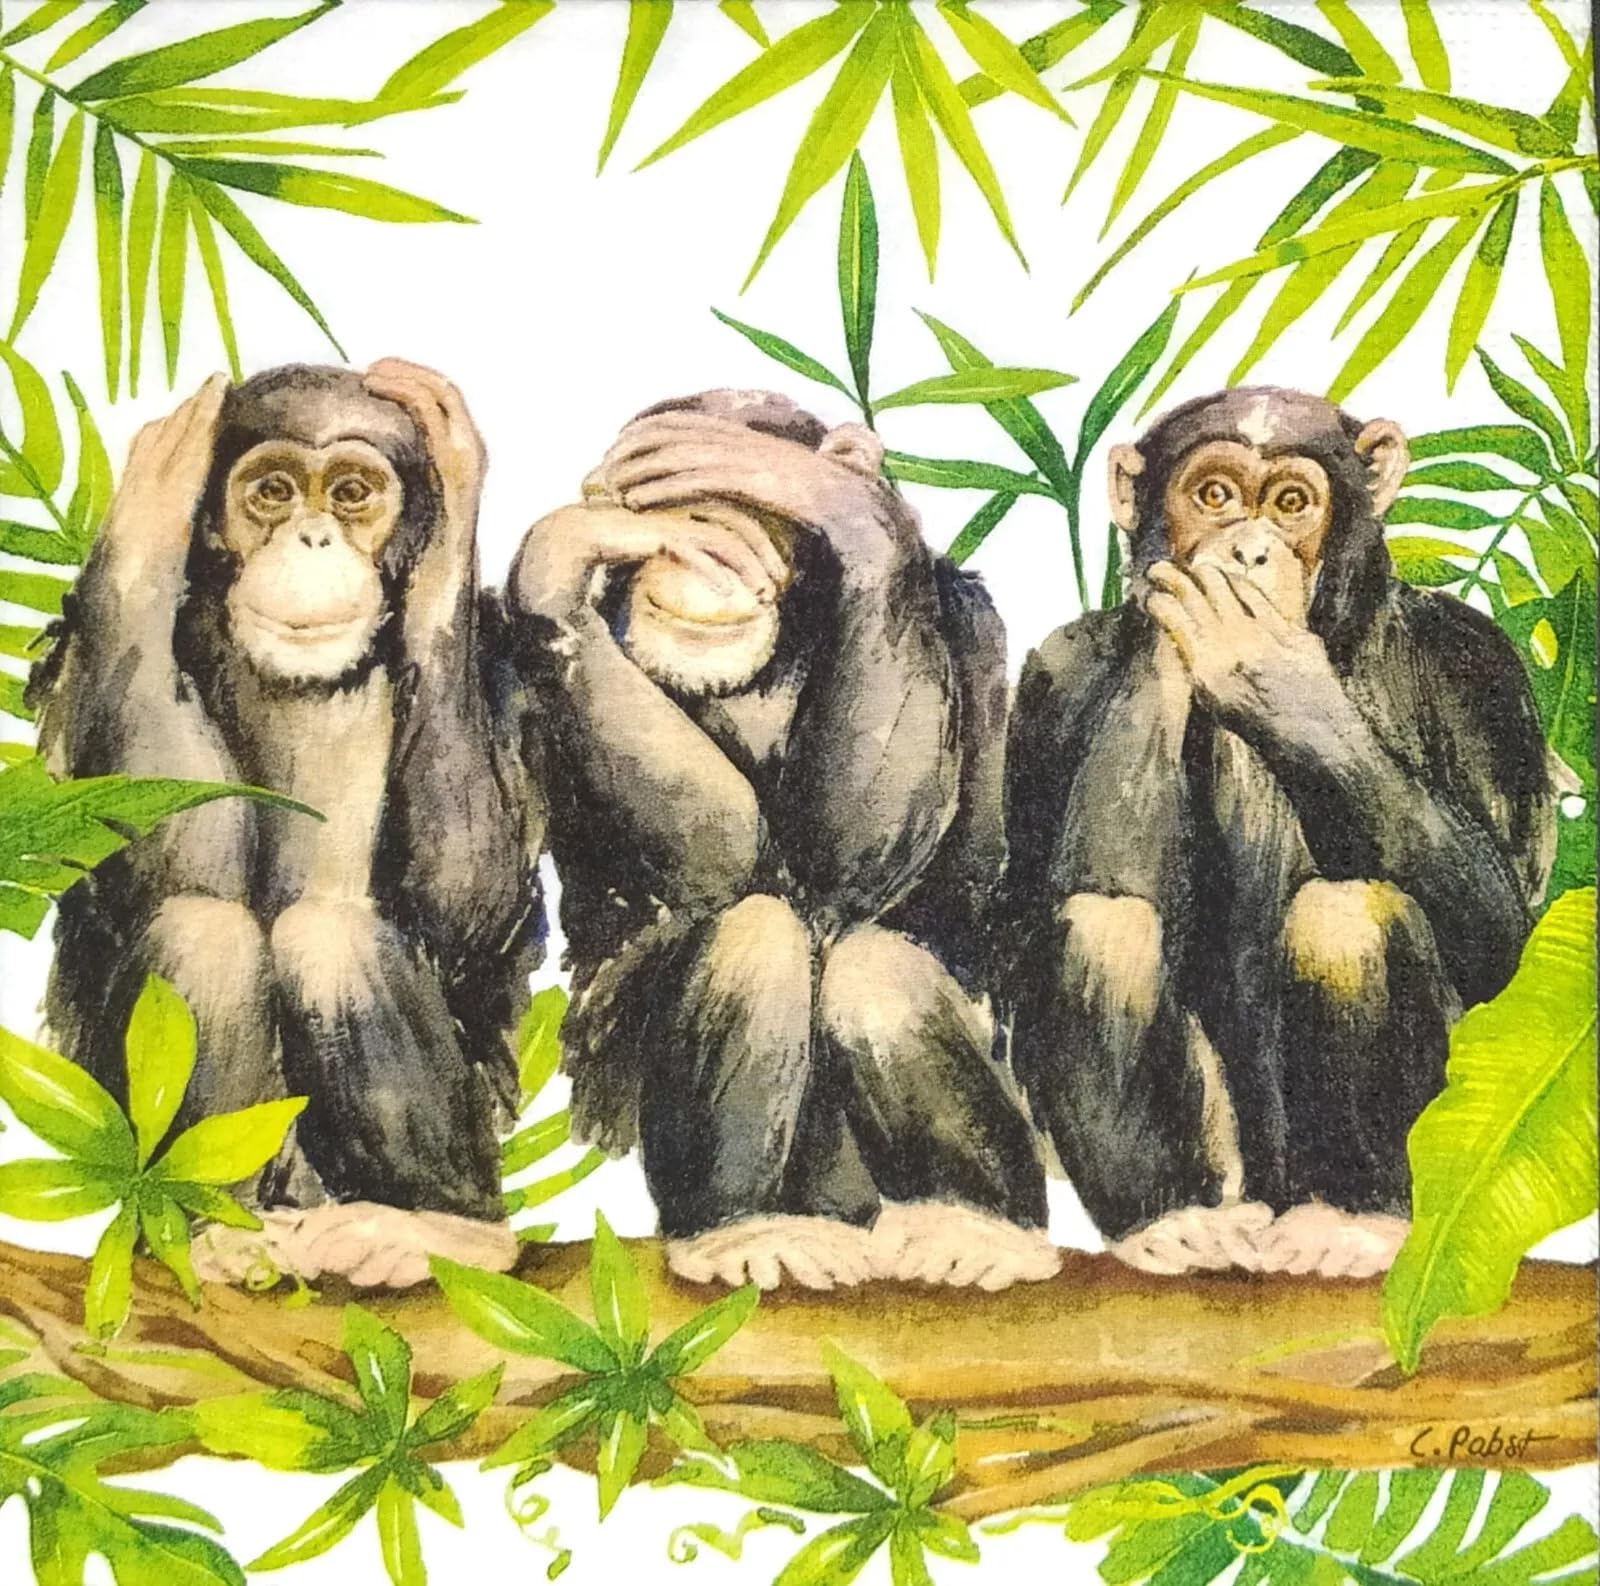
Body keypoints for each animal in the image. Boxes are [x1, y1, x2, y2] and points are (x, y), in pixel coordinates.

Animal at [29, 363, 544, 1289]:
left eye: (351, 494)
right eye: (271, 492)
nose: (311, 539)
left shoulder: (504, 670)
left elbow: (468, 909)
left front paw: (452, 502)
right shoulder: (76, 665)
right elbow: (170, 849)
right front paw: (156, 488)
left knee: (330, 936)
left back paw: (443, 1227)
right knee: (203, 929)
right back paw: (202, 1223)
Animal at [509, 389, 1056, 1292]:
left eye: (723, 509)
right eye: (656, 517)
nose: (692, 552)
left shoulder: (971, 624)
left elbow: (881, 864)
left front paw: (836, 496)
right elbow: (720, 851)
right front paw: (564, 547)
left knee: (877, 966)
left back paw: (977, 1226)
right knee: (754, 927)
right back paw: (739, 1228)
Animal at [1000, 387, 1553, 1279]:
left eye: (1292, 503)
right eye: (1215, 495)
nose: (1250, 551)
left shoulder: (1480, 671)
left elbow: (1507, 950)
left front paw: (1276, 681)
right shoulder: (1053, 672)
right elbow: (1025, 915)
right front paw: (1172, 653)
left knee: (1348, 917)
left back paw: (1351, 1217)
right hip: (1238, 1171)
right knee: (1104, 921)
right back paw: (1170, 1216)